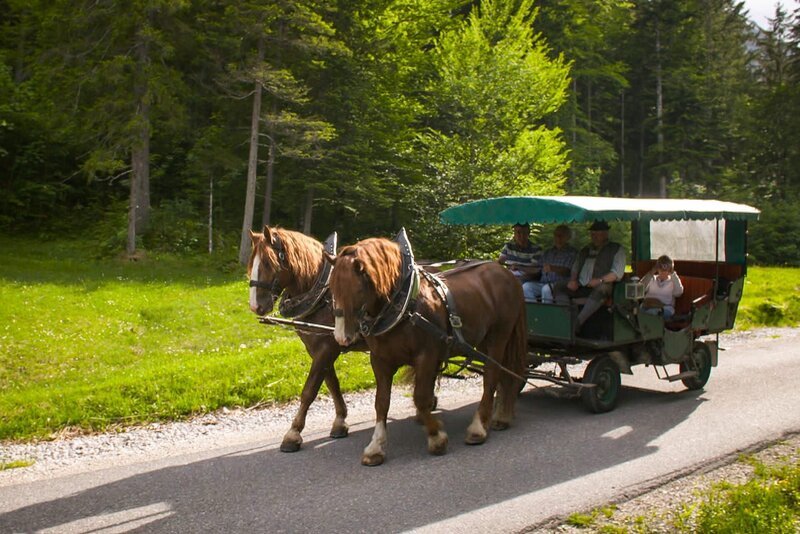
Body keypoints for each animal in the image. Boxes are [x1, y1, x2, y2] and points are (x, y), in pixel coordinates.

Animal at [248, 225, 366, 452]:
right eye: (251, 263)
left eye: (267, 262)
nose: (255, 306)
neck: (323, 296)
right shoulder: (317, 348)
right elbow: (331, 383)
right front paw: (340, 421)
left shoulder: (327, 348)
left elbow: (310, 390)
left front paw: (293, 433)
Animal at [327, 237, 527, 466]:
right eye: (331, 289)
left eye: (357, 289)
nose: (341, 337)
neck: (404, 306)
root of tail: (506, 273)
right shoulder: (380, 360)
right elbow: (381, 402)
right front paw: (375, 446)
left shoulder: (427, 356)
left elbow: (421, 398)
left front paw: (436, 437)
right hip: (482, 341)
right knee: (501, 374)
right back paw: (501, 415)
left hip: (499, 337)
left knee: (491, 377)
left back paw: (478, 428)